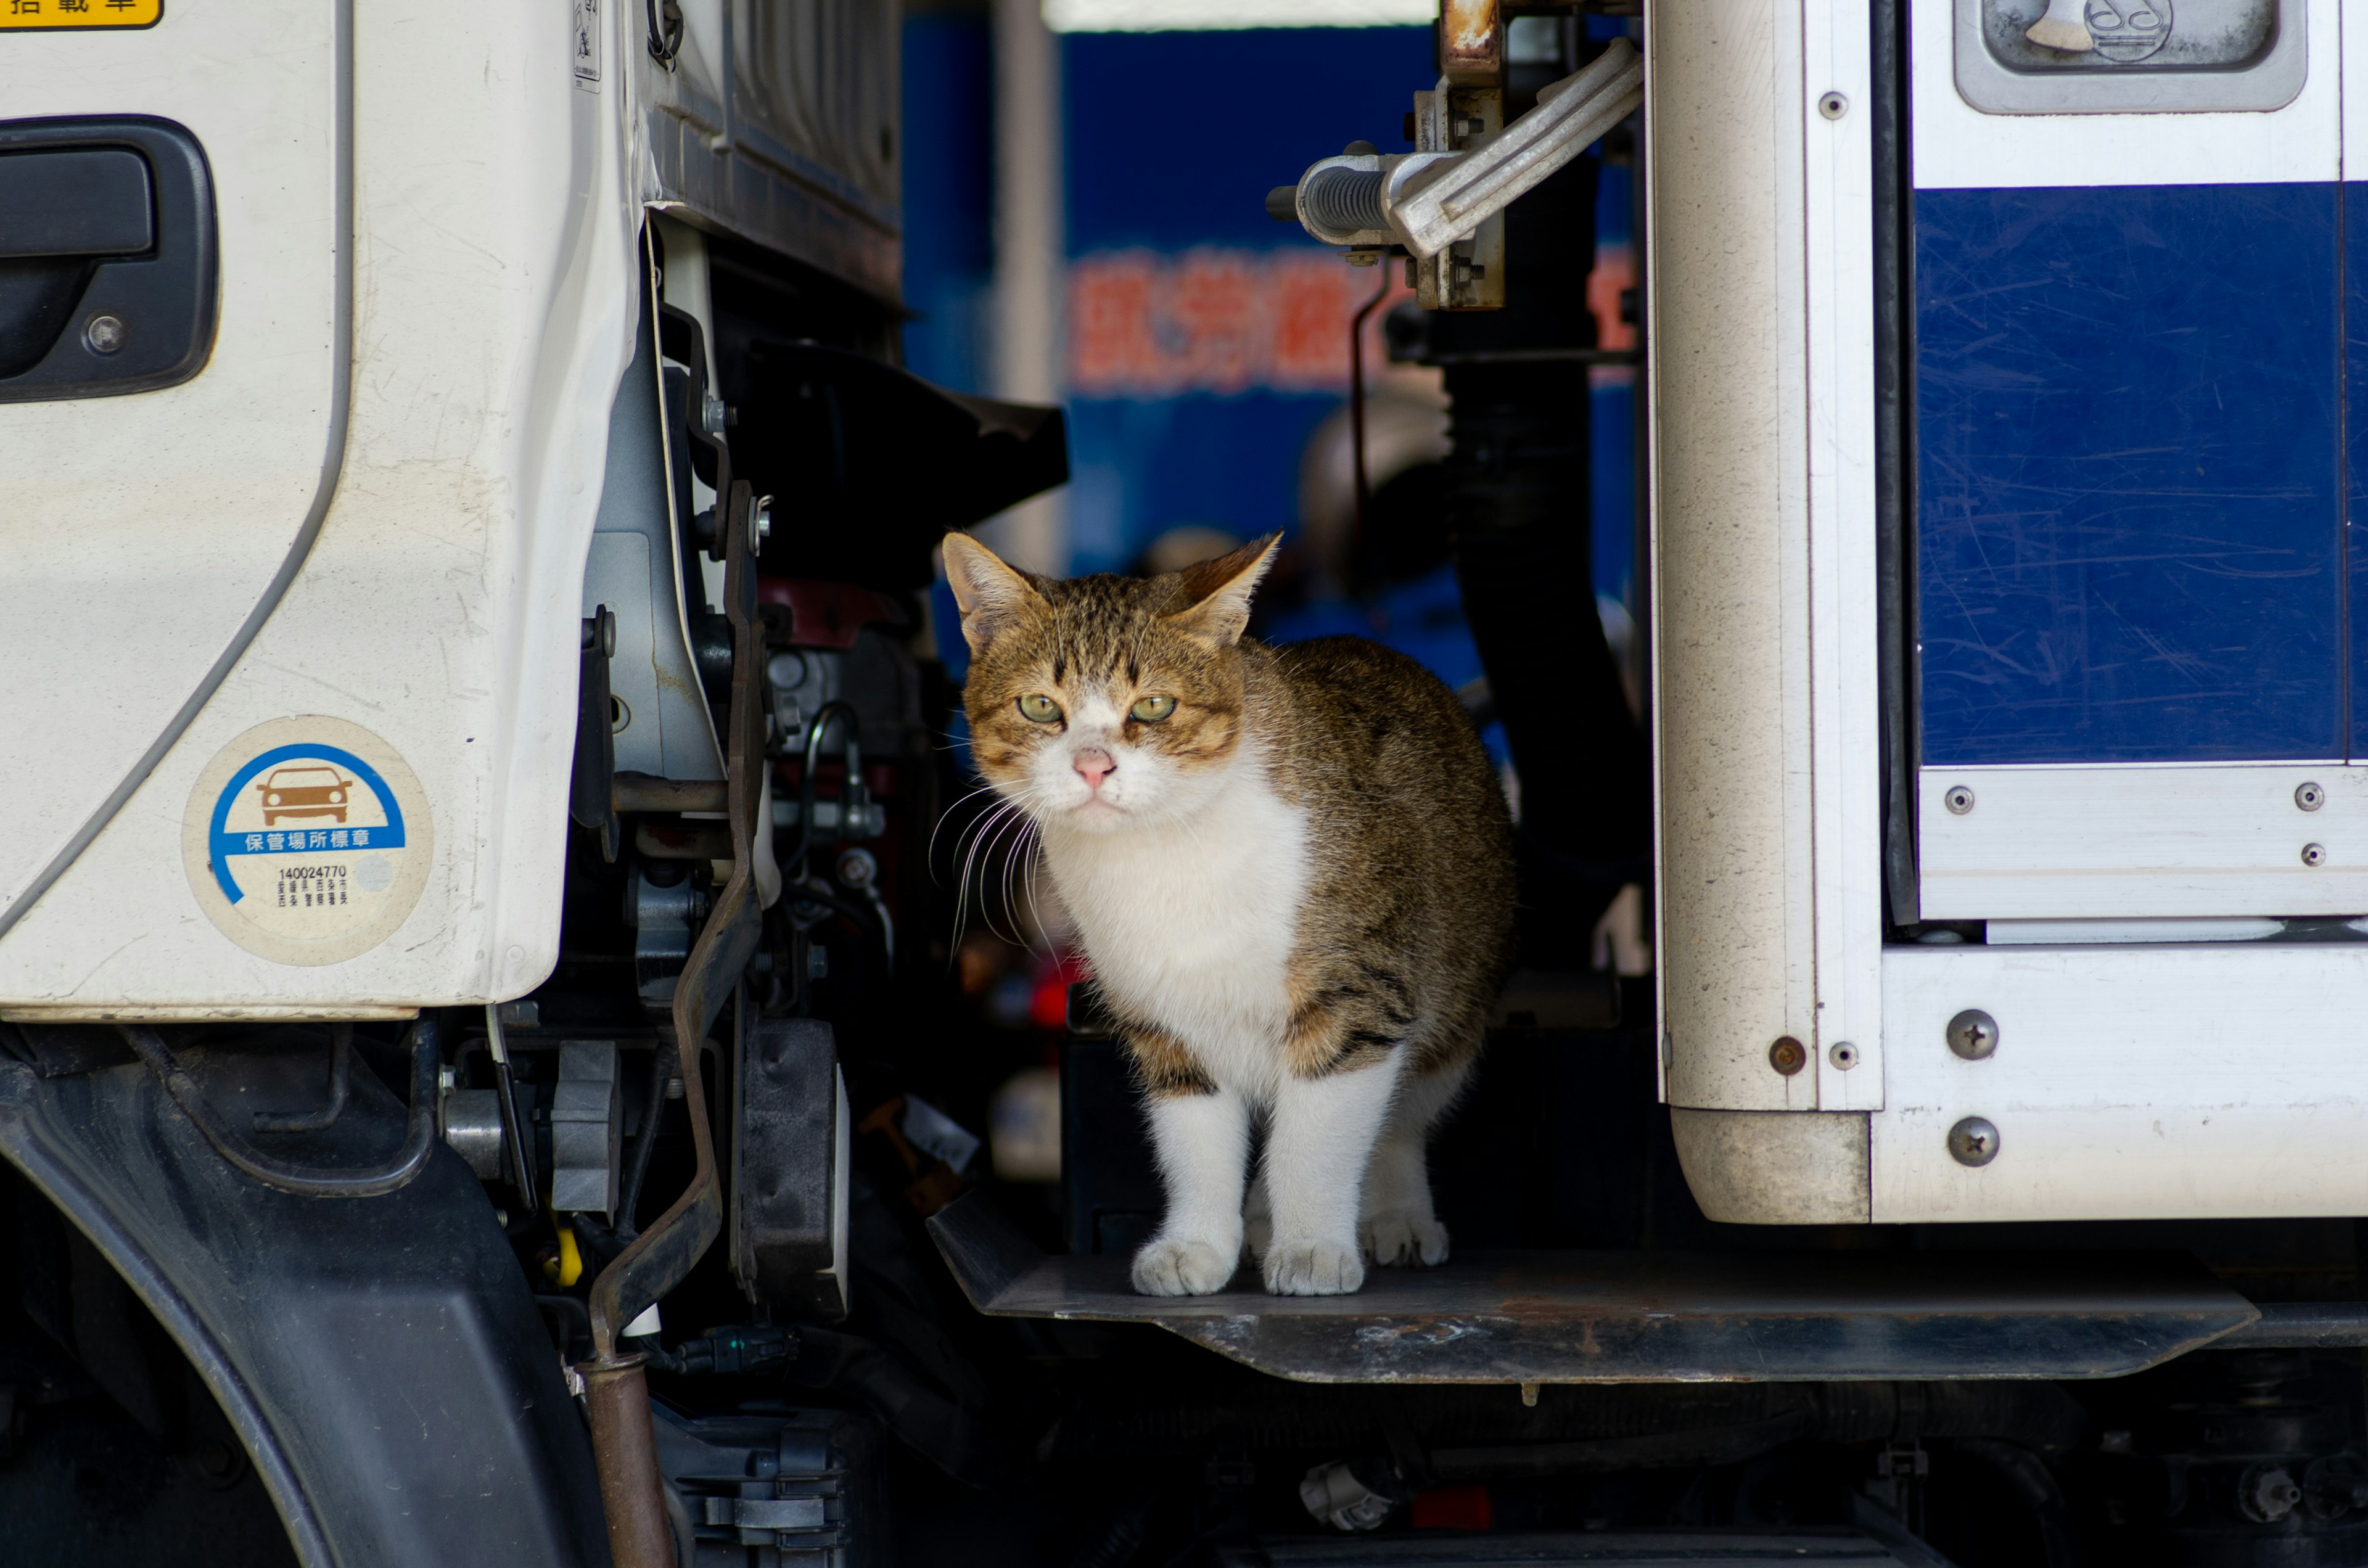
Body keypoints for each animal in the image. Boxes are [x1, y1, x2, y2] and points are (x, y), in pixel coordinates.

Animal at [942, 530, 1515, 1298]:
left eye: (1154, 705)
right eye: (1039, 705)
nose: (1093, 765)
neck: (1165, 853)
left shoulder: (1354, 994)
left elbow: (1318, 1138)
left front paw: (1312, 1244)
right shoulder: (1164, 1020)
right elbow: (1196, 1141)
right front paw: (1199, 1244)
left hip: (1454, 1000)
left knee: (1401, 1117)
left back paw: (1394, 1213)